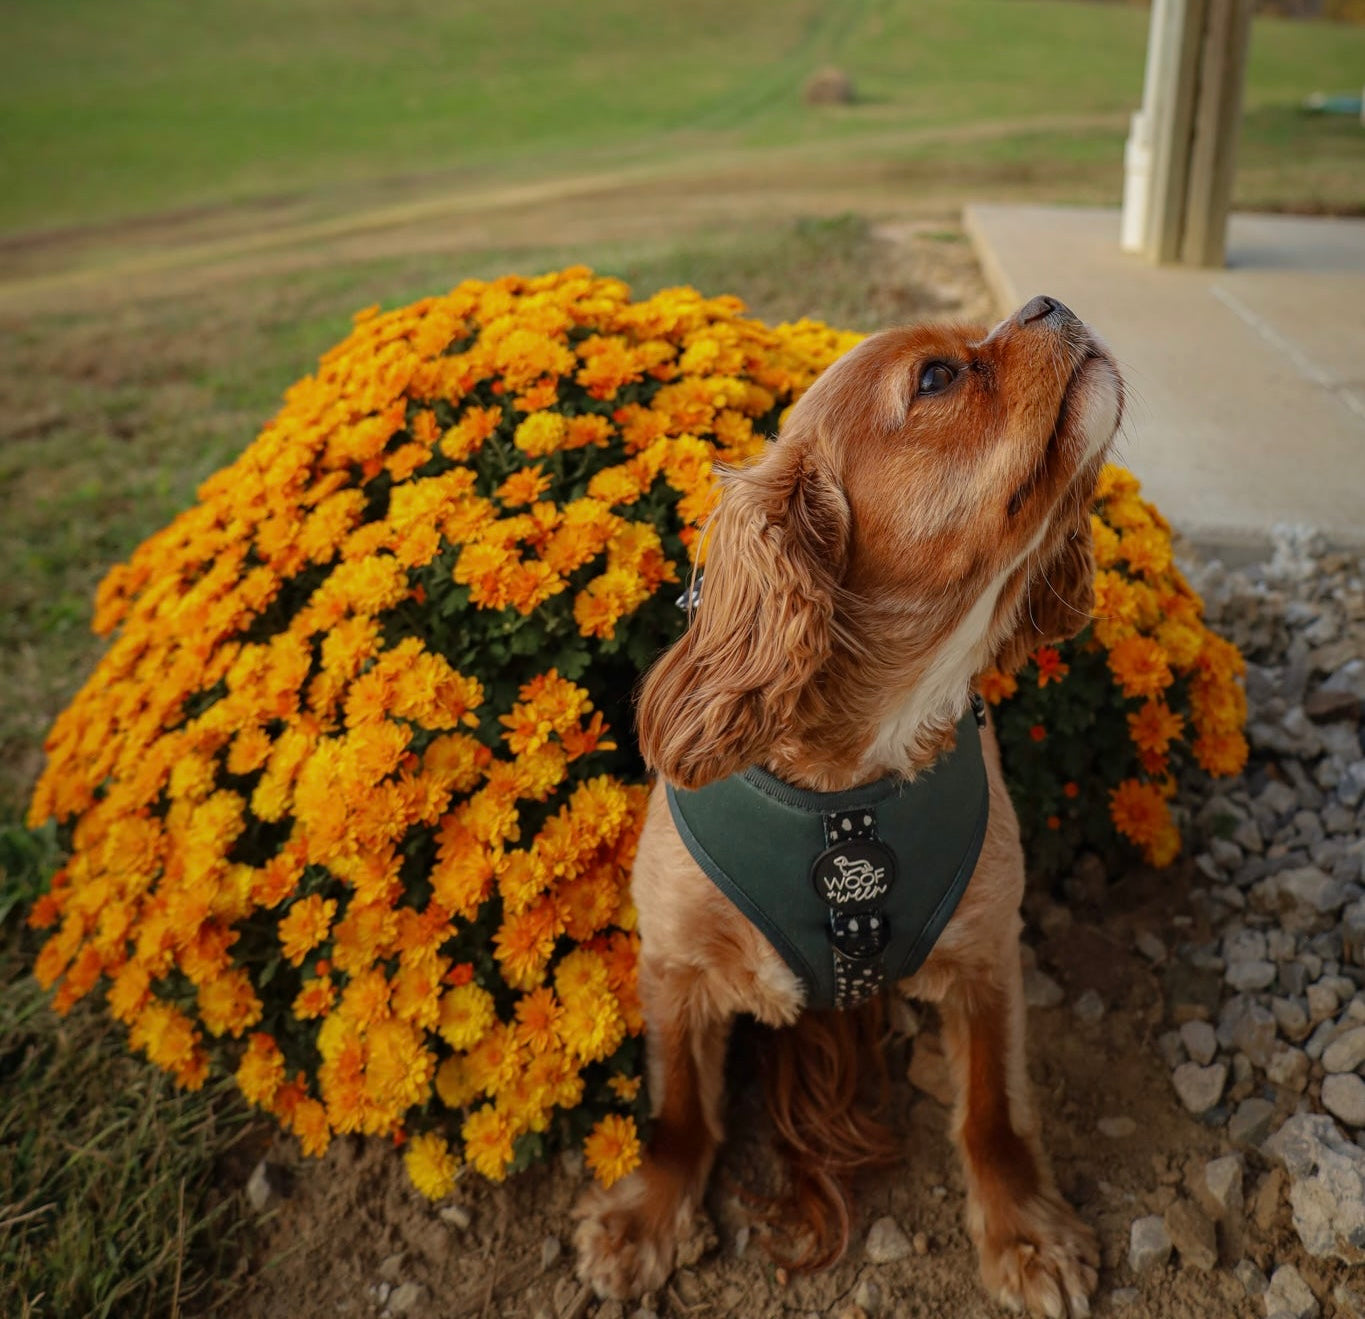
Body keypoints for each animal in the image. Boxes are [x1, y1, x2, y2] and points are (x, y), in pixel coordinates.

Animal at [573, 294, 1119, 1316]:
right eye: (937, 377)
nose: (1049, 302)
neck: (849, 799)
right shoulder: (673, 961)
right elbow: (677, 1111)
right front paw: (644, 1219)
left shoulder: (987, 951)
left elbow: (991, 1111)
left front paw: (1025, 1234)